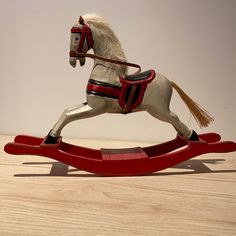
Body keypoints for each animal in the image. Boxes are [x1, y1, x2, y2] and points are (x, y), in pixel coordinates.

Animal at [45, 14, 213, 144]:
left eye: (77, 36)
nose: (72, 60)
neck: (106, 70)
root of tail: (169, 82)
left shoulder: (96, 107)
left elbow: (69, 116)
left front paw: (51, 138)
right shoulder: (89, 103)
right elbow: (66, 111)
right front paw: (51, 135)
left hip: (159, 110)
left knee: (175, 118)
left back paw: (194, 138)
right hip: (159, 110)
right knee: (175, 122)